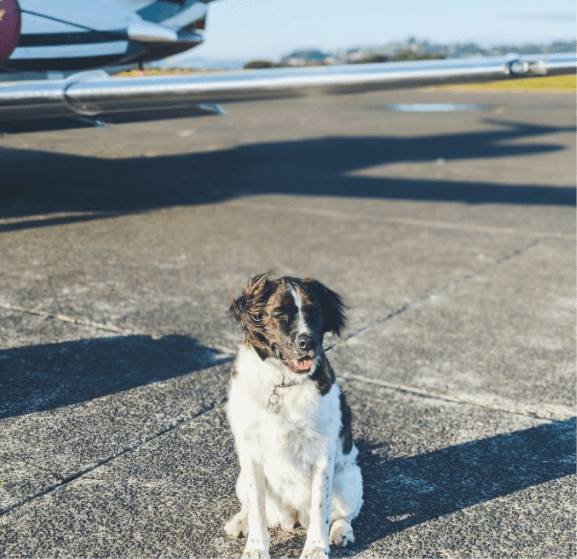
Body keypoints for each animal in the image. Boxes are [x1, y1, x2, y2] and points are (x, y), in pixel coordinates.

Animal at [225, 274, 363, 559]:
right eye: (280, 314)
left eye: (314, 312)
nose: (307, 342)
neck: (283, 383)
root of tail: (293, 516)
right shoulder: (250, 453)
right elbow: (257, 510)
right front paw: (256, 548)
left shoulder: (323, 455)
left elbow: (321, 509)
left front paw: (316, 548)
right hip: (241, 479)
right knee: (251, 507)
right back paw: (240, 521)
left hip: (349, 480)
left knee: (344, 515)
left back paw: (342, 532)